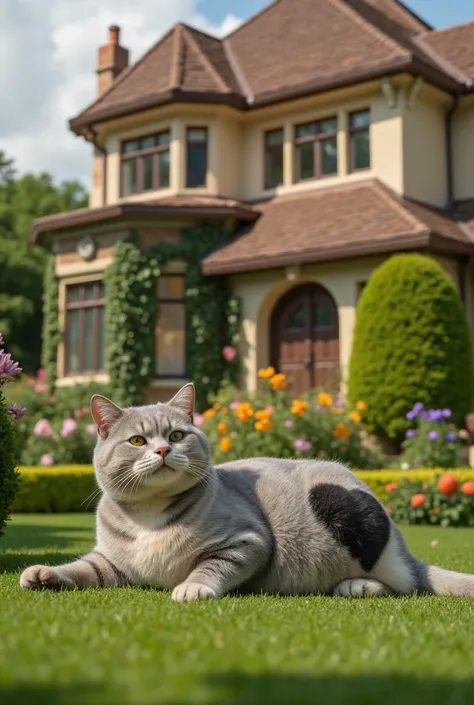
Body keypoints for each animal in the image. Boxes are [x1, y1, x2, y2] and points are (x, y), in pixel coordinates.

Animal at [21, 382, 474, 604]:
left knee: (408, 584)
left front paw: (192, 587)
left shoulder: (247, 541)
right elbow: (83, 569)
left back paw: (358, 586)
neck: (149, 514)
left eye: (177, 435)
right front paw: (46, 575)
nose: (163, 450)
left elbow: (210, 566)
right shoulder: (113, 563)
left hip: (347, 510)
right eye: (137, 441)